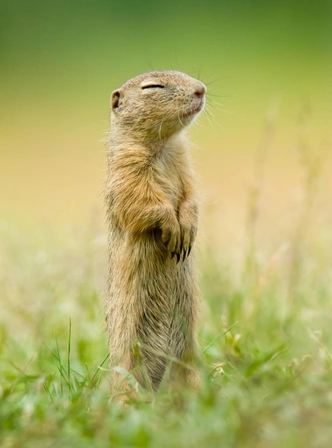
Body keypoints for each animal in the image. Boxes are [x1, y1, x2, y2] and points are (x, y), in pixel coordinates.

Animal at [105, 68, 206, 394]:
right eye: (153, 87)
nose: (201, 89)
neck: (163, 146)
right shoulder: (126, 172)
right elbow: (143, 203)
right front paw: (173, 228)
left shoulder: (186, 166)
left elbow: (191, 197)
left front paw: (187, 227)